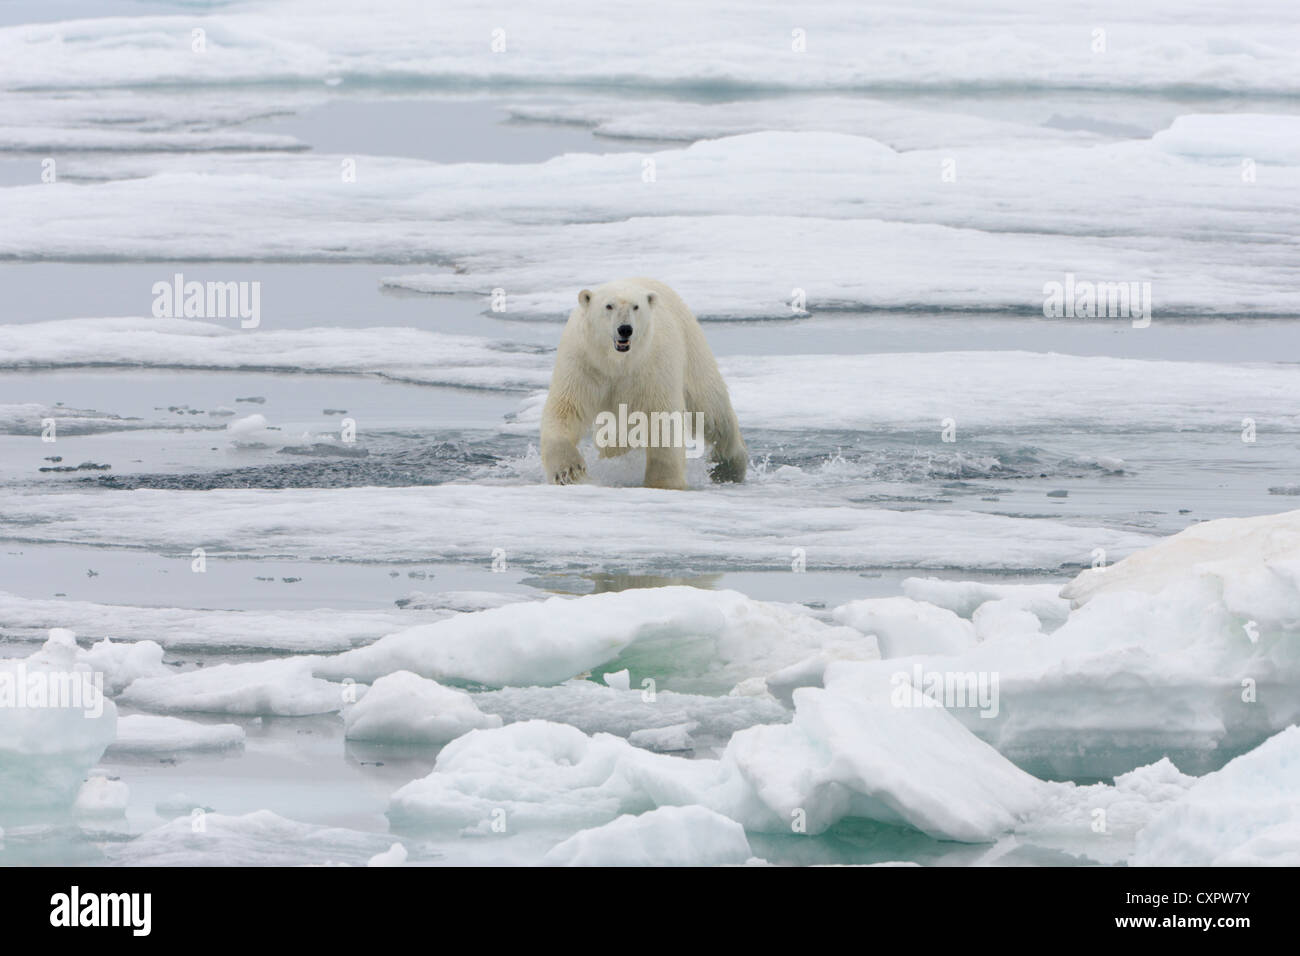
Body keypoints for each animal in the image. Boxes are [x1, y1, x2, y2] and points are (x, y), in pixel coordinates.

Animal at [538, 274, 748, 486]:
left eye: (636, 306)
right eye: (609, 305)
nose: (625, 329)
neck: (617, 363)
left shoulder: (652, 366)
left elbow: (661, 417)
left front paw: (664, 482)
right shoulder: (583, 364)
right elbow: (567, 408)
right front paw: (570, 472)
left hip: (692, 349)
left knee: (712, 411)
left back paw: (730, 467)